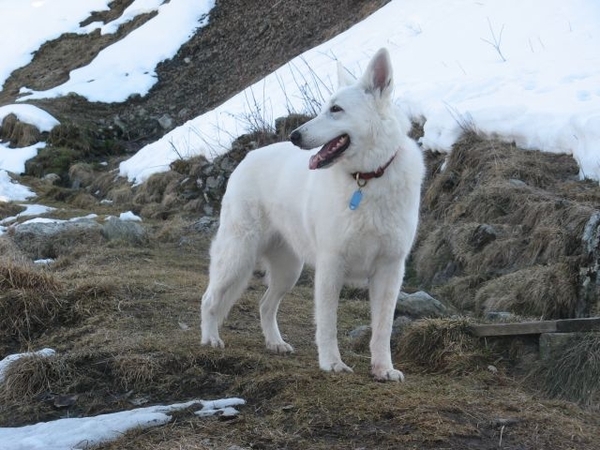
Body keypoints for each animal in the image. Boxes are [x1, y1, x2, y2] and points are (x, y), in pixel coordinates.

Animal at [203, 48, 426, 380]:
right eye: (324, 108)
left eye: (335, 109)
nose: (294, 136)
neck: (366, 179)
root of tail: (247, 157)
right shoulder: (331, 266)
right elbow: (328, 324)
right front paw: (332, 363)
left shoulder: (389, 270)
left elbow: (383, 329)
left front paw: (383, 369)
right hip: (238, 256)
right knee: (210, 299)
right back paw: (210, 339)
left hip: (288, 270)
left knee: (265, 305)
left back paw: (275, 343)